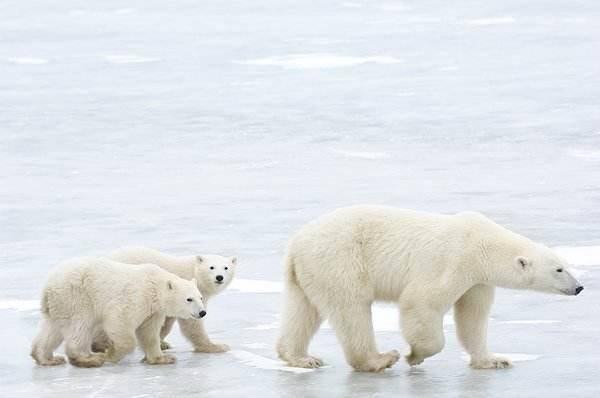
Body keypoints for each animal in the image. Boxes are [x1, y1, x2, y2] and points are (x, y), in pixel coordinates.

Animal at [31, 258, 206, 366]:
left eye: (201, 297)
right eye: (189, 299)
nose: (202, 313)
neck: (154, 286)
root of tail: (47, 287)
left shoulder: (153, 311)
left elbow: (149, 332)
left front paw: (163, 358)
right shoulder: (136, 297)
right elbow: (120, 321)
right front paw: (110, 353)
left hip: (60, 304)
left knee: (52, 329)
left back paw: (47, 358)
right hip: (77, 297)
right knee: (80, 327)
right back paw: (90, 359)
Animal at [101, 247, 234, 352]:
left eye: (226, 268)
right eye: (211, 267)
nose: (219, 277)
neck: (192, 271)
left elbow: (167, 322)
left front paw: (162, 343)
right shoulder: (184, 293)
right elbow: (192, 323)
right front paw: (217, 346)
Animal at [278, 207, 584, 372]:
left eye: (566, 265)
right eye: (559, 269)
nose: (579, 287)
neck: (482, 244)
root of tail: (296, 243)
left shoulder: (477, 281)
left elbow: (473, 319)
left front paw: (494, 360)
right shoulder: (453, 261)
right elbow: (421, 302)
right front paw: (415, 355)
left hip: (307, 272)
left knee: (302, 311)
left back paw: (301, 358)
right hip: (341, 260)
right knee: (352, 309)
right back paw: (379, 359)